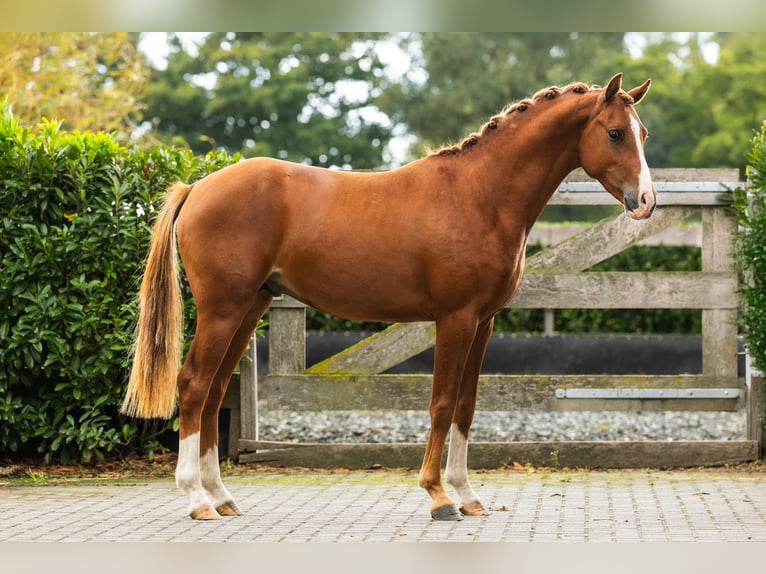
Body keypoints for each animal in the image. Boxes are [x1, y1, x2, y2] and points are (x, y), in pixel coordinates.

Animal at [121, 73, 655, 521]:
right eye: (614, 133)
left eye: (643, 133)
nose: (647, 202)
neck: (480, 194)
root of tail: (197, 187)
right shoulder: (456, 318)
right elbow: (442, 402)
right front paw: (438, 496)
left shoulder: (483, 322)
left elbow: (466, 406)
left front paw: (468, 495)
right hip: (223, 308)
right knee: (193, 384)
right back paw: (196, 499)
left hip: (250, 306)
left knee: (213, 392)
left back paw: (221, 496)